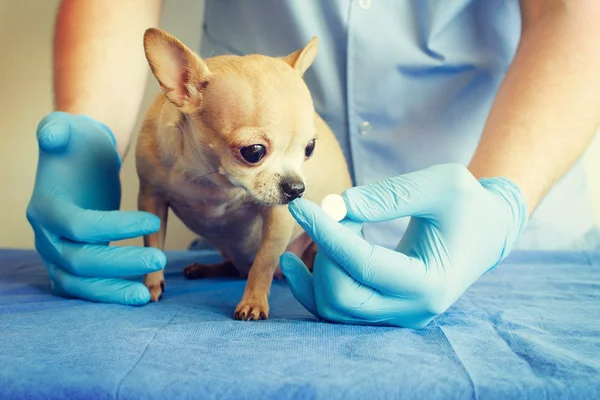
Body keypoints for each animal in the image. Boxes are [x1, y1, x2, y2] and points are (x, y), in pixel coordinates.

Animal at [136, 28, 352, 320]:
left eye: (309, 148)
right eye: (253, 152)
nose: (296, 189)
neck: (211, 179)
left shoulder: (278, 216)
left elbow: (263, 263)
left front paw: (253, 302)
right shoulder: (151, 196)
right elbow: (153, 243)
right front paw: (152, 282)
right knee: (236, 268)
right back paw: (205, 269)